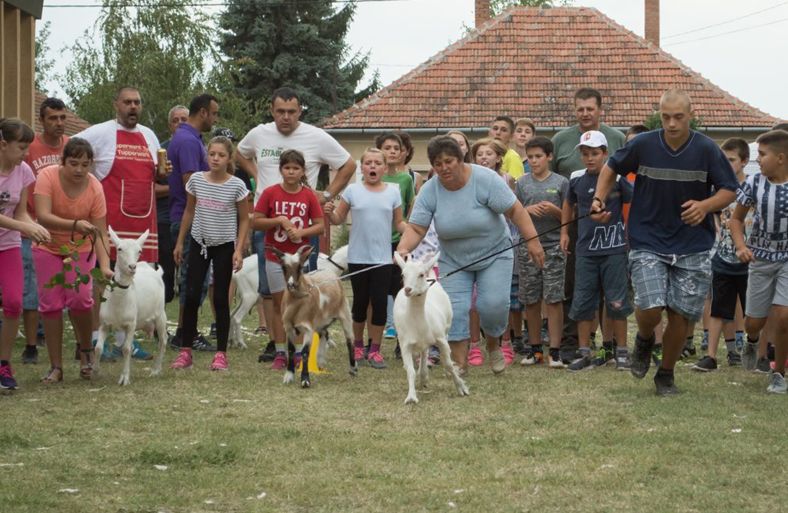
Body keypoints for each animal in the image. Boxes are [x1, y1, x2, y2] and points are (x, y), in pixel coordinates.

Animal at [94, 227, 170, 384]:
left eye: (139, 251)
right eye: (119, 249)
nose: (132, 267)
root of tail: (156, 272)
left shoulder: (131, 325)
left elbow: (126, 349)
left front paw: (124, 377)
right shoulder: (104, 323)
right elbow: (98, 348)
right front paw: (95, 371)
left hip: (160, 314)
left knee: (163, 340)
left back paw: (156, 369)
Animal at [272, 246, 356, 386]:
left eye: (300, 266)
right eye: (283, 267)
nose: (291, 284)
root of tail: (330, 272)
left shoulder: (308, 328)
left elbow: (305, 352)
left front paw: (305, 379)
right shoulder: (288, 328)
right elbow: (291, 350)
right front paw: (289, 375)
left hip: (345, 313)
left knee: (350, 341)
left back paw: (353, 369)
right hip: (321, 320)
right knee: (324, 334)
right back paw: (321, 361)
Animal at [392, 252, 468, 404]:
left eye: (420, 274)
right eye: (403, 274)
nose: (408, 290)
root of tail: (431, 278)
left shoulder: (441, 339)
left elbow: (448, 364)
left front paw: (461, 387)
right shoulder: (405, 344)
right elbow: (410, 371)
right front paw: (411, 397)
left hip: (446, 329)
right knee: (424, 351)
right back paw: (423, 377)